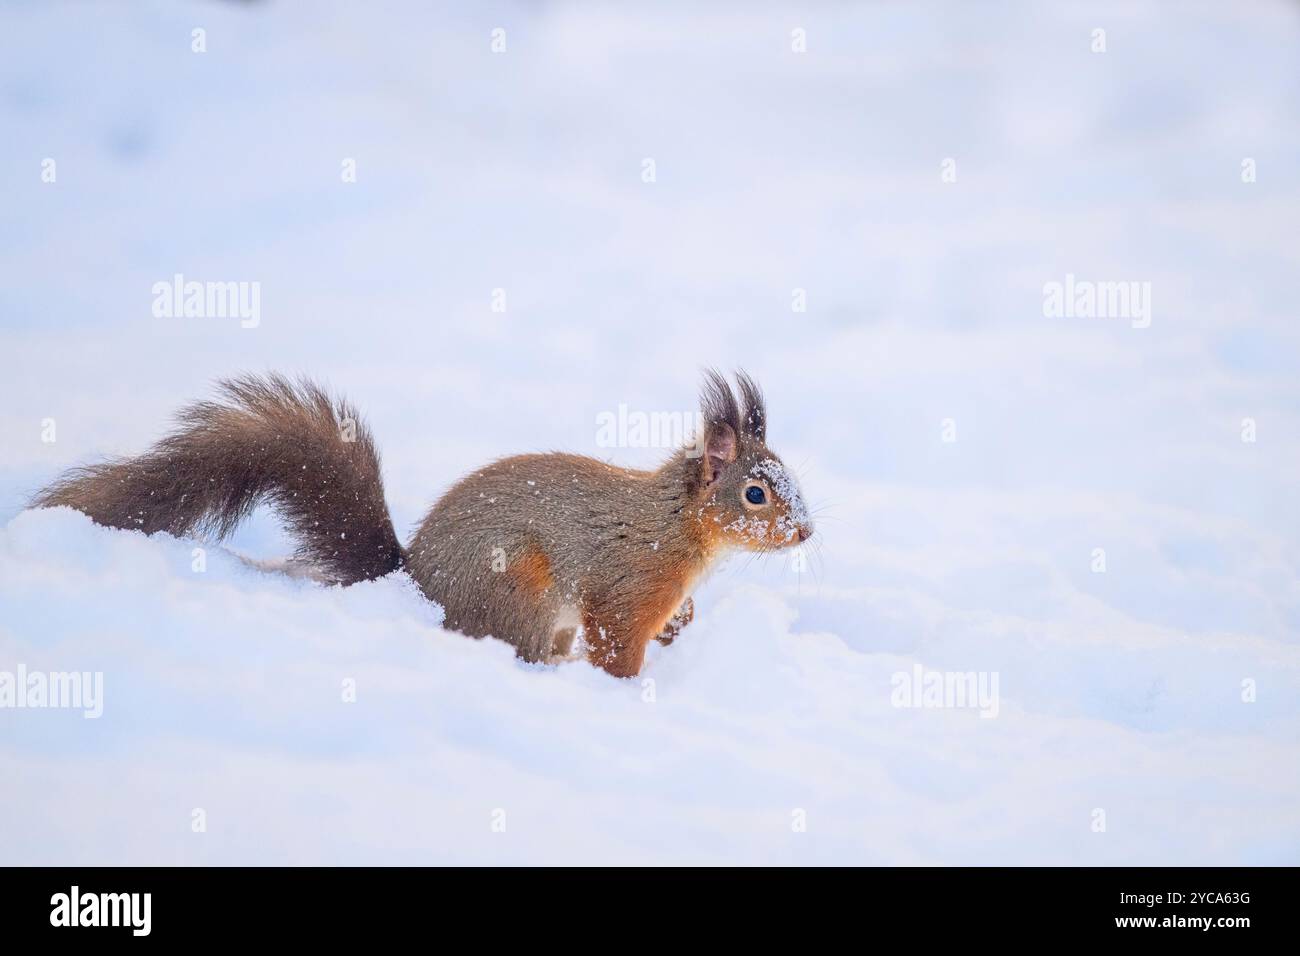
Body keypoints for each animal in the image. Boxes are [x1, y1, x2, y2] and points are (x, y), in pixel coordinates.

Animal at [32, 369, 811, 676]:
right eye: (756, 494)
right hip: (518, 585)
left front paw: (683, 629)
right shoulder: (627, 585)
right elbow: (618, 642)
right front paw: (627, 688)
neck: (678, 525)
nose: (806, 532)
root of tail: (411, 583)